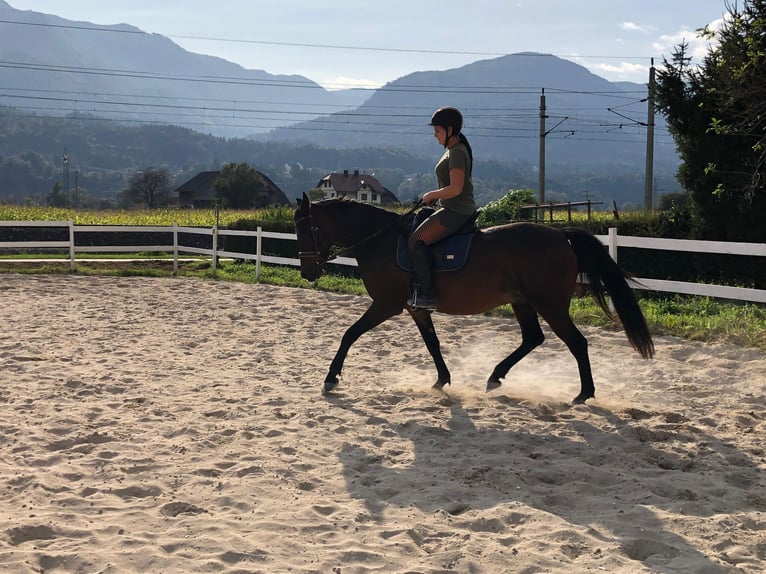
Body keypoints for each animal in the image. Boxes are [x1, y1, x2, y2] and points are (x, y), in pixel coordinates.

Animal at [294, 196, 656, 408]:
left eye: (307, 229)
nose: (307, 271)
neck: (381, 240)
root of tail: (560, 235)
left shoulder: (387, 304)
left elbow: (349, 334)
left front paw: (331, 378)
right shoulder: (415, 308)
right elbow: (432, 343)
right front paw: (442, 380)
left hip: (549, 304)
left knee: (576, 342)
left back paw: (582, 394)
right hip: (522, 301)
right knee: (533, 338)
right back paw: (495, 377)